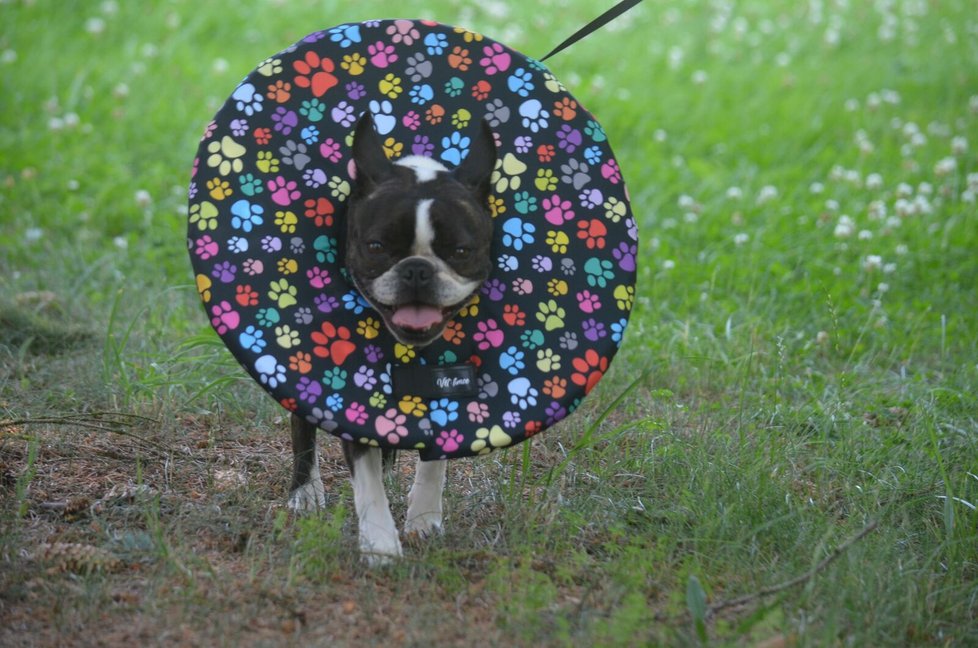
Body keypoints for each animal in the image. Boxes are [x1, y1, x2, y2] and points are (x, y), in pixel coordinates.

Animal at [282, 114, 496, 564]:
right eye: (376, 246)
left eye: (461, 251)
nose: (417, 269)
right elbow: (365, 480)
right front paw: (380, 543)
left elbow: (435, 460)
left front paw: (424, 520)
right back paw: (305, 491)